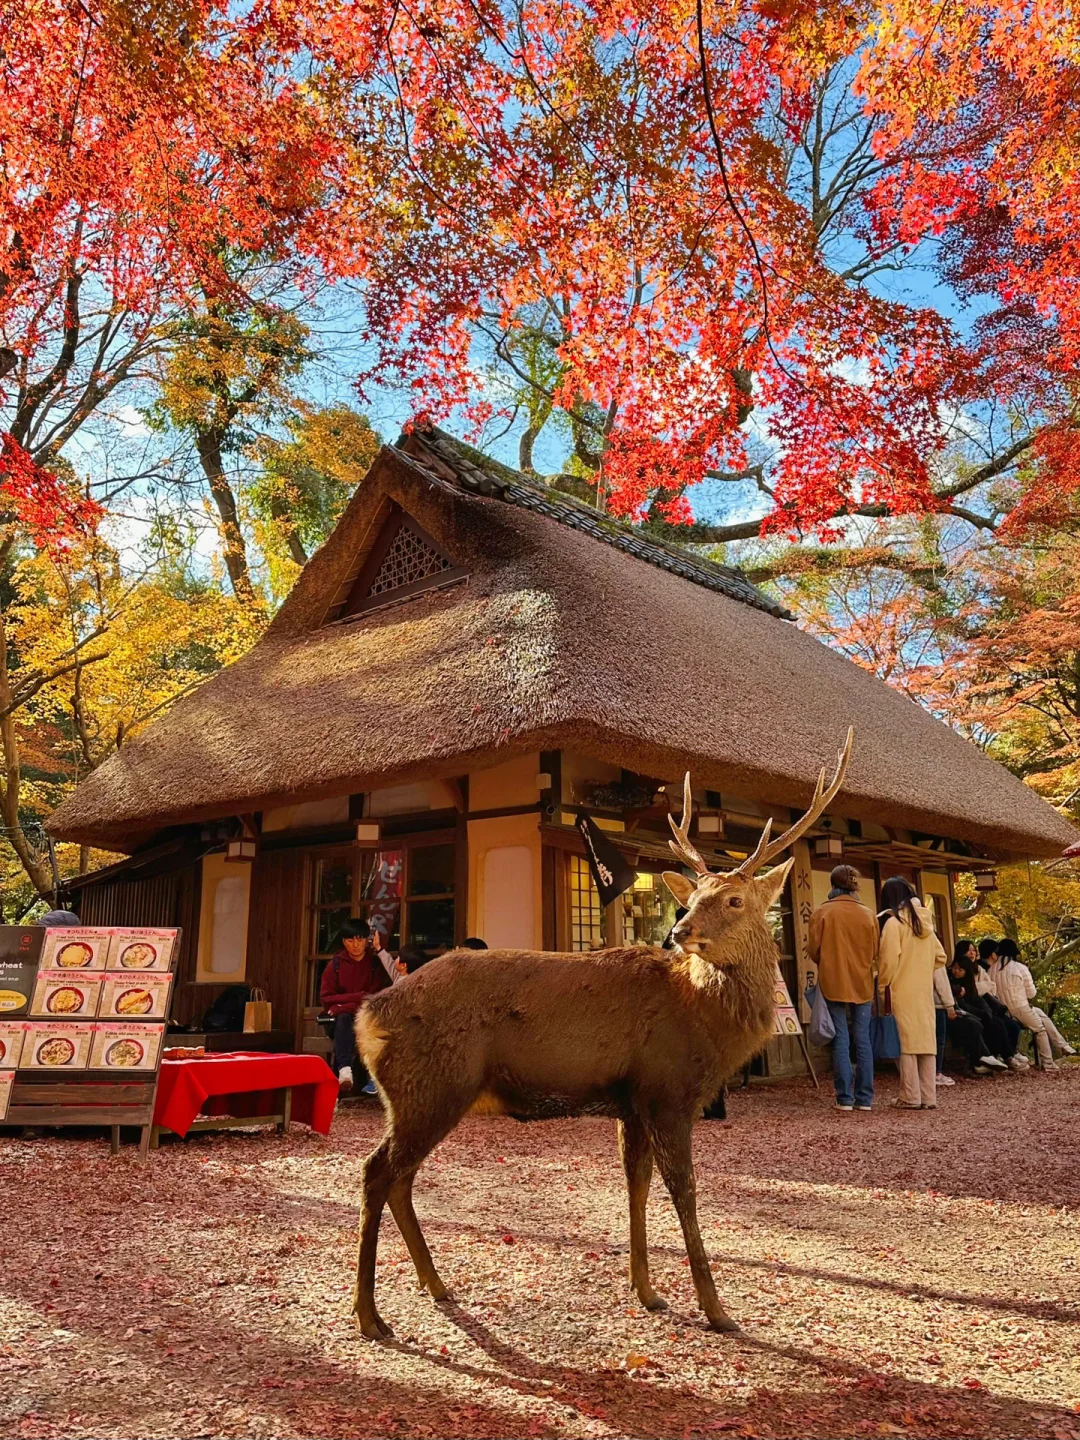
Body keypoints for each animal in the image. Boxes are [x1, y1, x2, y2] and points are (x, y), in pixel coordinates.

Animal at [351, 729, 854, 1339]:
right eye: (694, 897)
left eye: (734, 899)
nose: (680, 931)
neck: (705, 1023)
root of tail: (369, 1015)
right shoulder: (666, 1090)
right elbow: (684, 1192)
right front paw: (716, 1310)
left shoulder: (631, 1101)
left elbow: (636, 1185)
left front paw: (647, 1292)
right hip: (432, 1084)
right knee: (377, 1172)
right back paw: (370, 1315)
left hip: (418, 1095)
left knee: (399, 1179)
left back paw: (437, 1286)